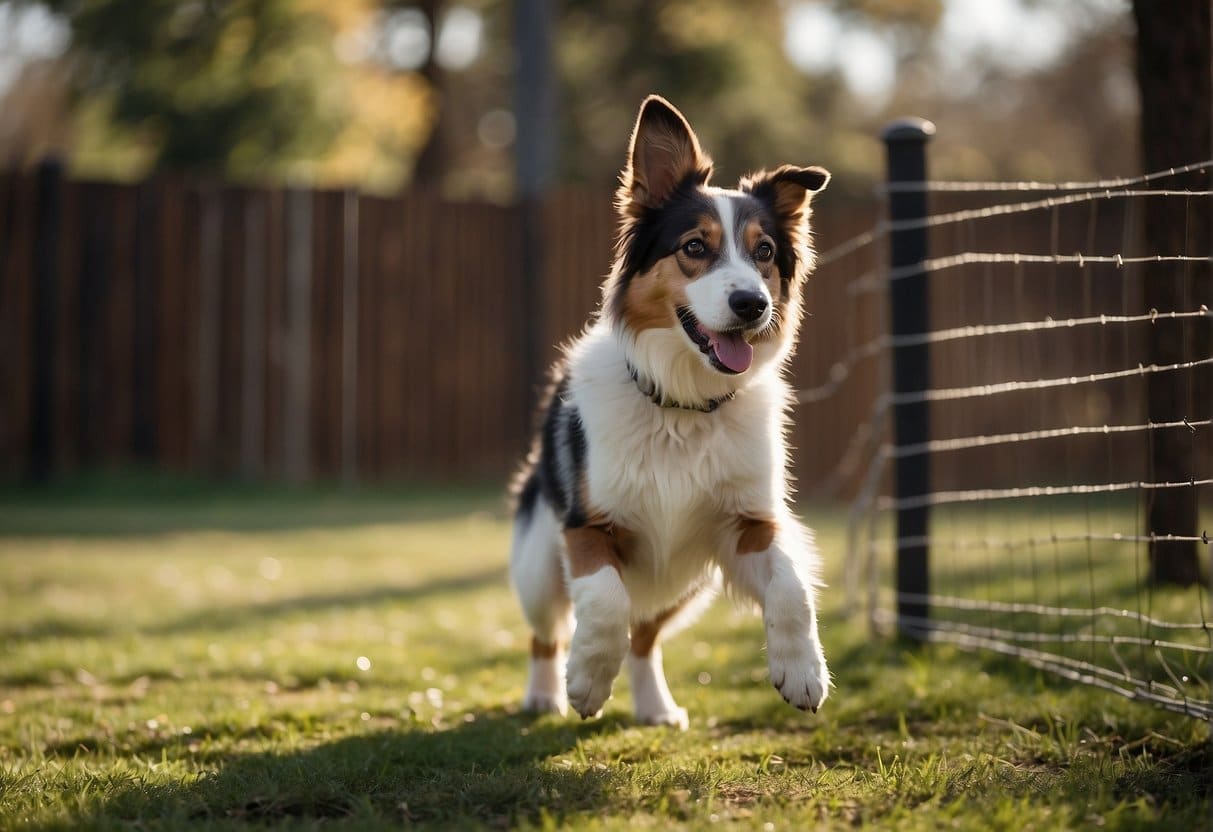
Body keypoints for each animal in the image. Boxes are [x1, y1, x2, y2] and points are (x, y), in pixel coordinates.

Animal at [507, 94, 829, 727]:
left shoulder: (748, 523)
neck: (682, 406)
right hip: (537, 563)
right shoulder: (587, 526)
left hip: (685, 585)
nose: (752, 304)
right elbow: (605, 599)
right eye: (694, 248)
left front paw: (802, 671)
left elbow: (792, 585)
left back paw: (655, 705)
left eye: (764, 252)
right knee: (547, 633)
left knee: (645, 637)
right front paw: (586, 682)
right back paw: (544, 694)